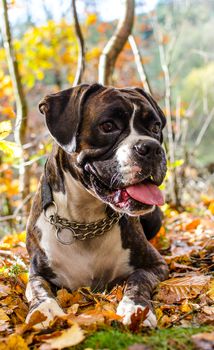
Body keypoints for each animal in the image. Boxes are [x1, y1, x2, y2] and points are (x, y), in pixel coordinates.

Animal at [25, 84, 169, 328]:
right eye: (108, 126)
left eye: (155, 127)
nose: (151, 147)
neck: (85, 219)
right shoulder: (36, 272)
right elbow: (38, 288)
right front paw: (44, 310)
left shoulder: (156, 265)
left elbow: (138, 279)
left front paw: (135, 307)